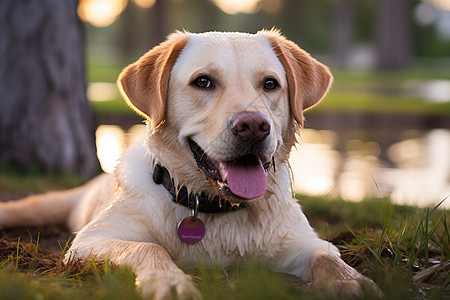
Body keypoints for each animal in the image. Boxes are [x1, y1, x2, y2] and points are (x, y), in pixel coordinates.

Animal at [0, 29, 380, 298]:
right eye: (203, 81)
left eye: (270, 84)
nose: (254, 126)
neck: (210, 207)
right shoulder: (90, 241)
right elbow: (149, 247)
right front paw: (169, 282)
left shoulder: (302, 242)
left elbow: (327, 255)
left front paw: (350, 282)